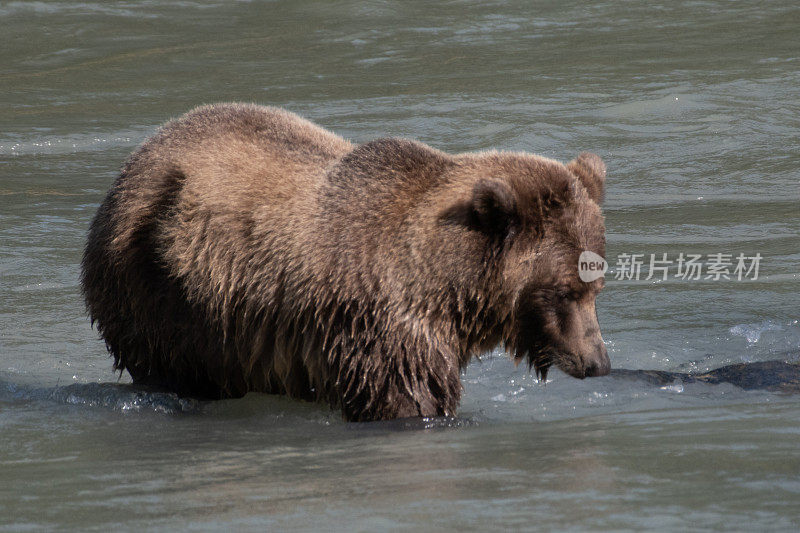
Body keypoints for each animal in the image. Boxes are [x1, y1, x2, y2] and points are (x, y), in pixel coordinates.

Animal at [79, 104, 608, 420]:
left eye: (596, 286)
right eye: (564, 291)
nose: (597, 362)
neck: (449, 287)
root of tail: (138, 158)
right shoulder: (382, 329)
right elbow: (406, 397)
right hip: (156, 287)